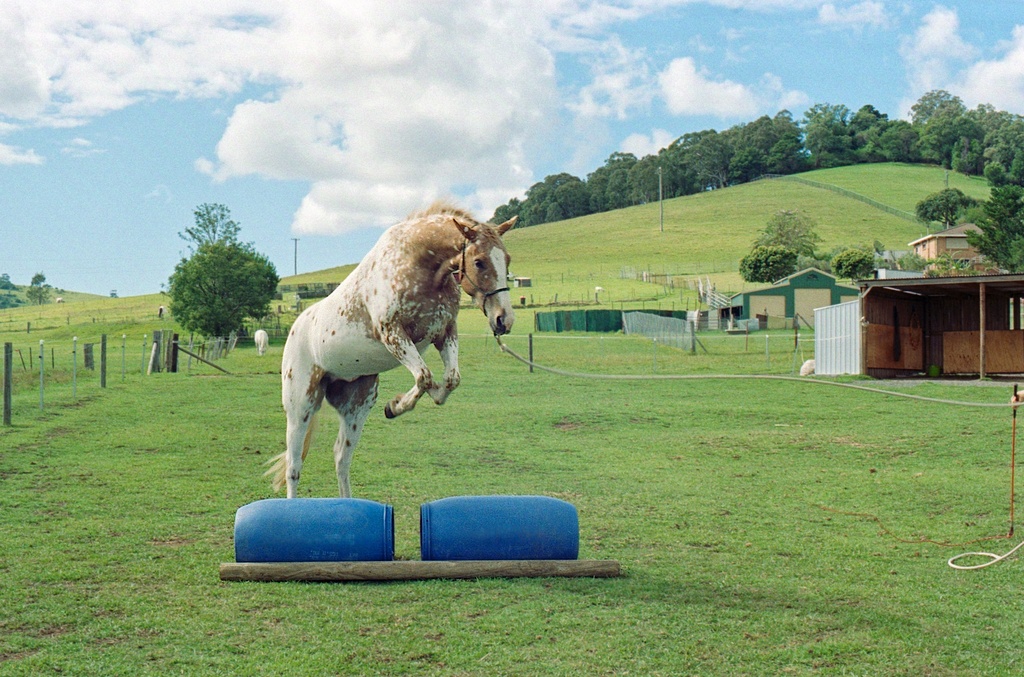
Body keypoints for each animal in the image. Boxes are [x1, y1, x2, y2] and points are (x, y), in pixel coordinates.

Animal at [268, 200, 516, 495]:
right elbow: (425, 377)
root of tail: (295, 329)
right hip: (300, 407)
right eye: (479, 262)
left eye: (507, 260)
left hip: (357, 405)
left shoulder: (445, 332)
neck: (419, 264)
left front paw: (398, 404)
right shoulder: (393, 333)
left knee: (341, 458)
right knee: (294, 466)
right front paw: (396, 406)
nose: (504, 320)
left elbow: (450, 380)